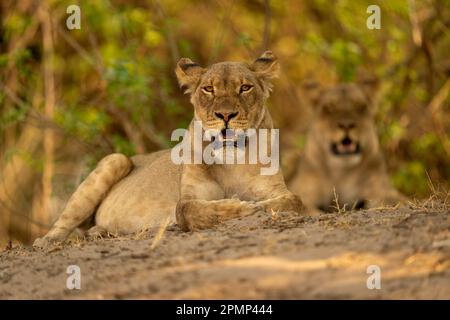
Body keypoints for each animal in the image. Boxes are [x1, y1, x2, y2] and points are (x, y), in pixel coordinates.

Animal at [34, 50, 302, 248]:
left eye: (245, 87)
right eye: (208, 89)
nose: (225, 115)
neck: (231, 161)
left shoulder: (276, 189)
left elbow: (291, 201)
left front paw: (254, 205)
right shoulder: (189, 198)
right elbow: (189, 210)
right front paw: (239, 206)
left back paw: (99, 232)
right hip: (115, 159)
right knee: (64, 223)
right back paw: (47, 242)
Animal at [290, 78, 406, 212]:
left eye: (360, 107)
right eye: (329, 108)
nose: (346, 125)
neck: (342, 172)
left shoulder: (380, 189)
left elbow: (394, 199)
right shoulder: (304, 190)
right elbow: (305, 206)